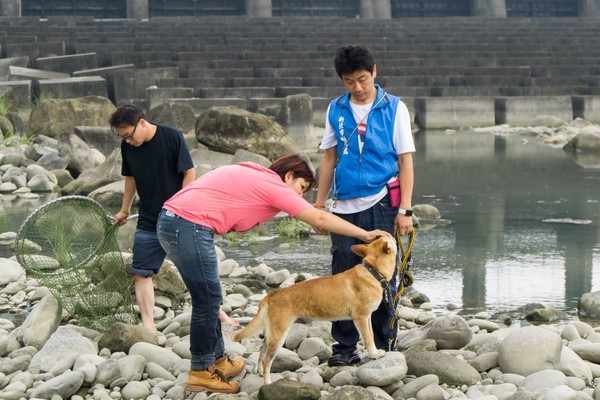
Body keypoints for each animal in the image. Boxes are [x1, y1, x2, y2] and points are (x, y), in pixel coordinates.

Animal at [234, 236, 398, 382]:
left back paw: (259, 371)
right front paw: (374, 354)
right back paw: (267, 382)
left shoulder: (367, 317)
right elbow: (368, 338)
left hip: (271, 334)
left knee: (261, 349)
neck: (373, 271)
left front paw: (376, 351)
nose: (392, 235)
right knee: (267, 360)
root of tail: (271, 295)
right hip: (278, 335)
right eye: (388, 238)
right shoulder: (361, 317)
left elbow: (371, 335)